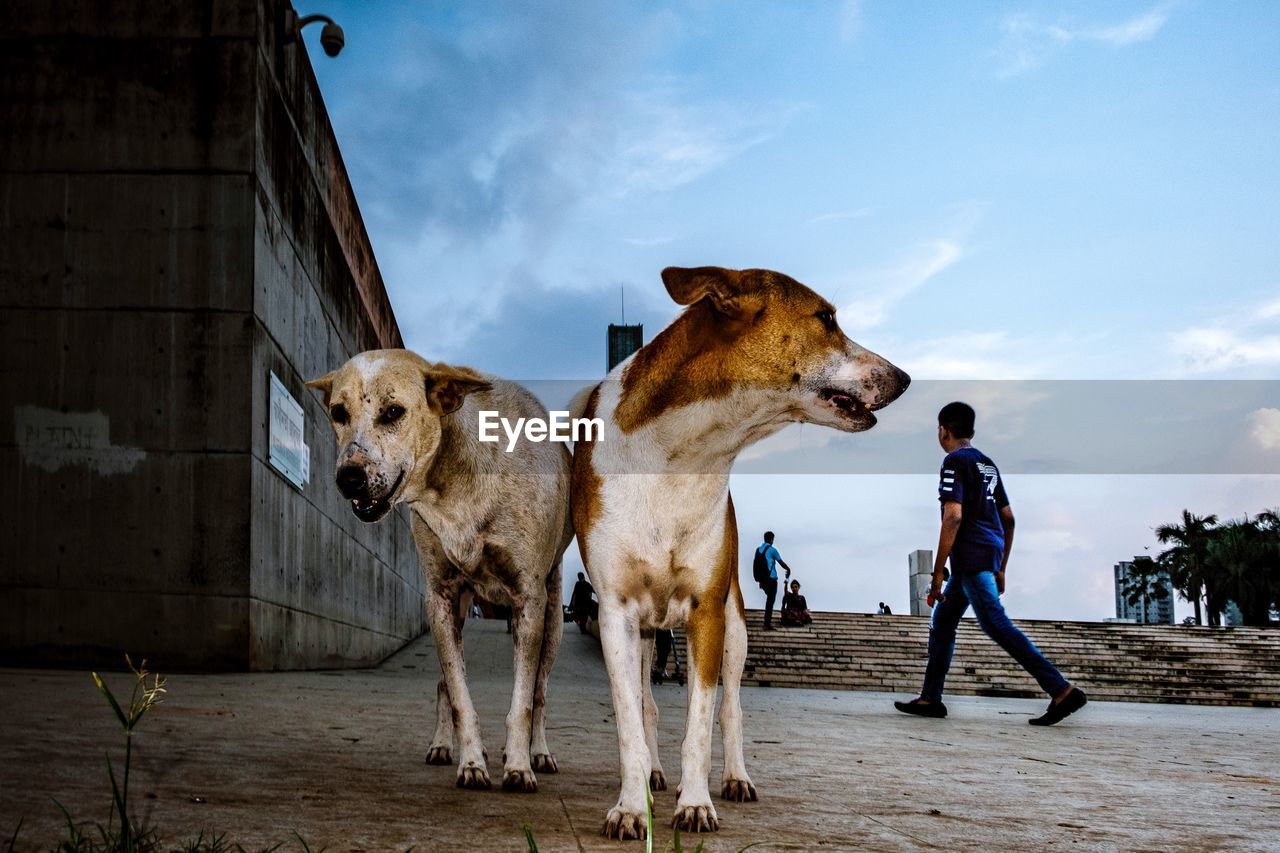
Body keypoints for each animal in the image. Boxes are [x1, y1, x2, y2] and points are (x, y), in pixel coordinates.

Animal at [304, 345, 570, 788]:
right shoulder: (440, 598)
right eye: (338, 412)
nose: (348, 478)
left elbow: (523, 702)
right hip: (456, 612)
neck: (454, 488)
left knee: (541, 691)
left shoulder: (528, 600)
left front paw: (518, 765)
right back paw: (446, 745)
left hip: (553, 620)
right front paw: (472, 762)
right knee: (447, 684)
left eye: (394, 412)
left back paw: (539, 752)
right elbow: (459, 695)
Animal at [570, 267, 911, 835]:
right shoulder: (615, 611)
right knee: (648, 704)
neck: (679, 450)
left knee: (728, 707)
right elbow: (630, 721)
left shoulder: (707, 610)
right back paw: (655, 775)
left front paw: (695, 802)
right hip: (647, 634)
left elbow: (702, 722)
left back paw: (731, 777)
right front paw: (631, 805)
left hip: (733, 625)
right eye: (826, 318)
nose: (903, 378)